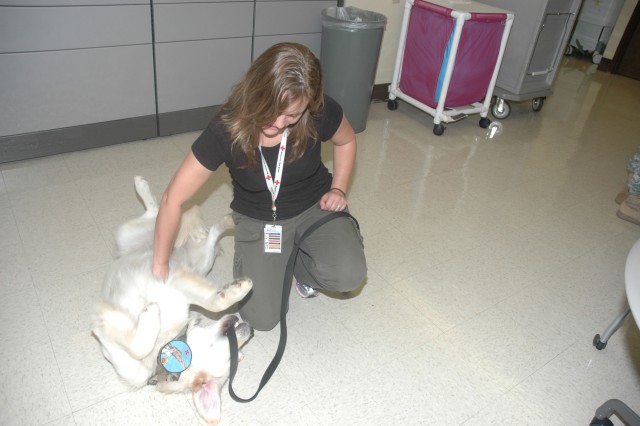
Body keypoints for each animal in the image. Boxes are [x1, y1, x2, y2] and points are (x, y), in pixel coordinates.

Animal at [92, 176, 252, 422]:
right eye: (232, 354)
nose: (249, 330)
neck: (166, 343)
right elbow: (139, 347)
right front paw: (151, 311)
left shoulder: (178, 283)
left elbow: (214, 301)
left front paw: (233, 290)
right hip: (131, 236)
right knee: (158, 211)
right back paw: (142, 186)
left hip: (200, 263)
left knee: (207, 233)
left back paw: (227, 221)